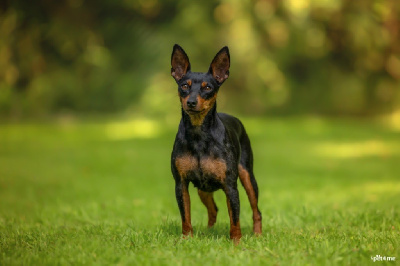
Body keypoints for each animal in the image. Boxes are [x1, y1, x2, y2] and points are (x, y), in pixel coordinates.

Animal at [170, 44, 260, 242]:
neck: (198, 134)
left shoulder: (230, 186)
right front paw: (186, 240)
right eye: (184, 86)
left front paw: (236, 242)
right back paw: (209, 231)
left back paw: (258, 235)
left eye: (208, 87)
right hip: (203, 189)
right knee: (213, 209)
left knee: (256, 211)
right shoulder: (181, 184)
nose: (191, 102)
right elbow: (185, 217)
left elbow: (235, 218)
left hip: (247, 177)